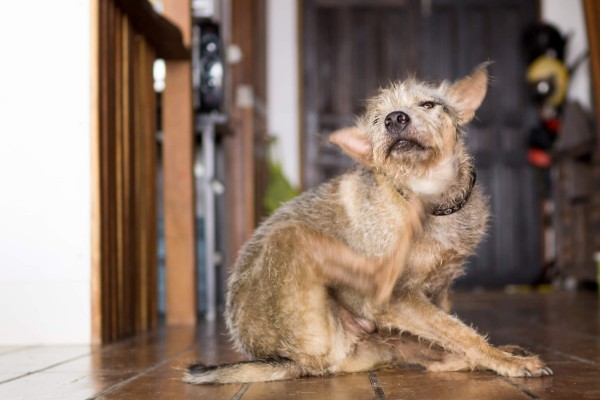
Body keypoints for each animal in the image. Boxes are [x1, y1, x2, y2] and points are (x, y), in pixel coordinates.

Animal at [184, 63, 552, 384]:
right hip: (294, 246)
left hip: (384, 339)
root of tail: (285, 360)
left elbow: (450, 329)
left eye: (428, 104)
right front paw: (505, 361)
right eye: (377, 119)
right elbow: (456, 330)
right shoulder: (401, 300)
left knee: (437, 358)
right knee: (379, 286)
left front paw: (496, 355)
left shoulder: (440, 291)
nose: (394, 119)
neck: (429, 197)